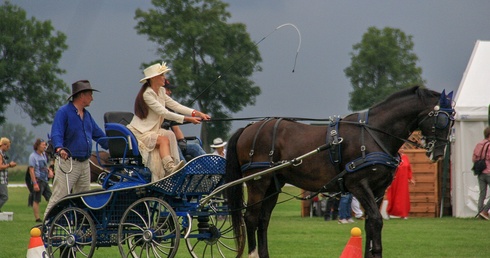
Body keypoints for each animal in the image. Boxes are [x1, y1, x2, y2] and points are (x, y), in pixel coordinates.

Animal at [226, 85, 456, 256]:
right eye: (441, 119)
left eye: (452, 120)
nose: (438, 153)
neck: (373, 134)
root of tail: (249, 128)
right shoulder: (359, 185)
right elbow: (376, 220)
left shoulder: (378, 190)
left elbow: (371, 224)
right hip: (257, 181)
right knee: (251, 218)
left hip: (273, 185)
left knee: (263, 220)